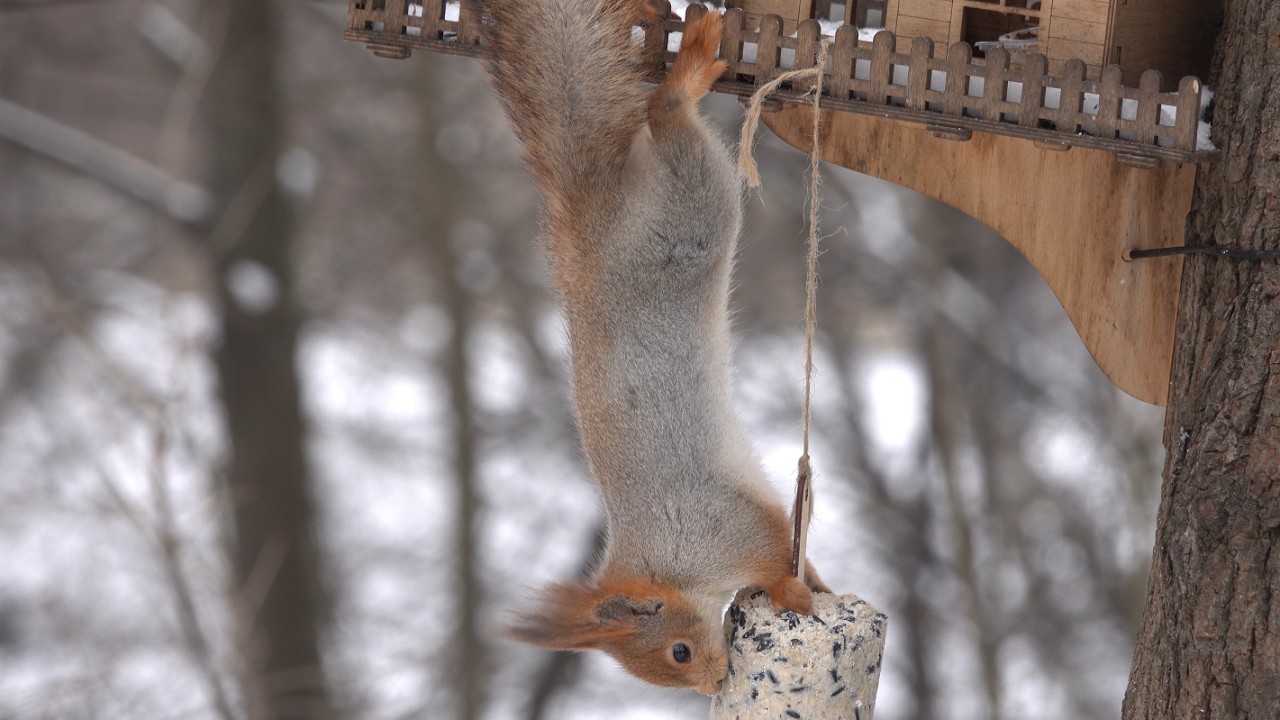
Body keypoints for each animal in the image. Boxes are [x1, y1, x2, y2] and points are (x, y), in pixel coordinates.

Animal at [476, 0, 829, 695]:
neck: (671, 565)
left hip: (692, 214)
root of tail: (592, 237)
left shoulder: (725, 527)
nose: (715, 686)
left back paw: (687, 71)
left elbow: (773, 552)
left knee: (665, 117)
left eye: (678, 653)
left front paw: (795, 590)